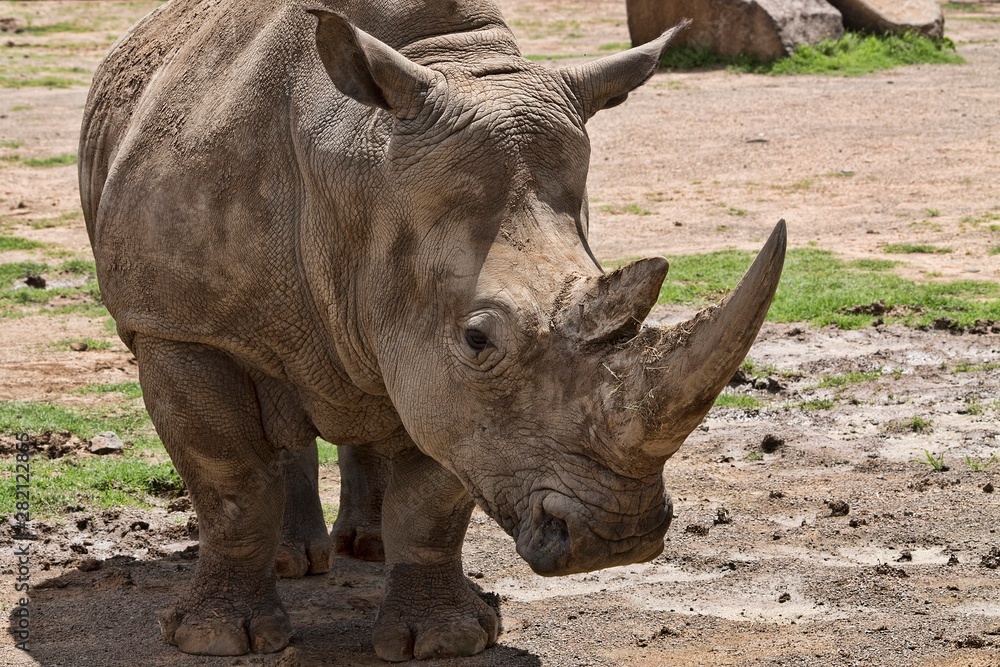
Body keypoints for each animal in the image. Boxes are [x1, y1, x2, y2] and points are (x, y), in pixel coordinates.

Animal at [79, 0, 785, 660]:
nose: (616, 538)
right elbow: (231, 481)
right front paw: (219, 640)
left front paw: (445, 640)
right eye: (478, 339)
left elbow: (432, 496)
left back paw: (365, 548)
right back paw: (294, 562)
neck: (361, 173)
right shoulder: (178, 325)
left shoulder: (448, 378)